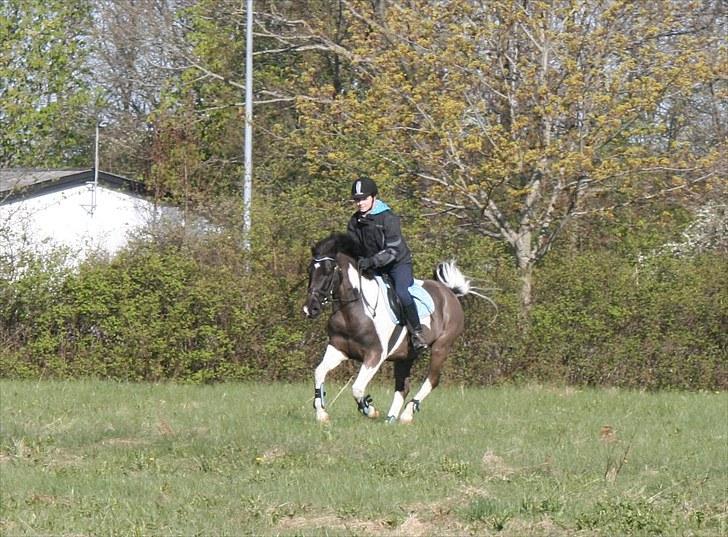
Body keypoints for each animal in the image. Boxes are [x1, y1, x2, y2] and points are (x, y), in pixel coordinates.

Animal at [302, 232, 484, 426]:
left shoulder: (375, 354)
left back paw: (407, 414)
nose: (310, 309)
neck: (352, 310)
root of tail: (450, 293)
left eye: (328, 270)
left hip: (441, 347)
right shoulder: (338, 349)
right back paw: (390, 419)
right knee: (403, 386)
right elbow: (319, 372)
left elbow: (357, 388)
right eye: (309, 270)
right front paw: (322, 414)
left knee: (432, 380)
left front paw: (370, 410)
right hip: (406, 355)